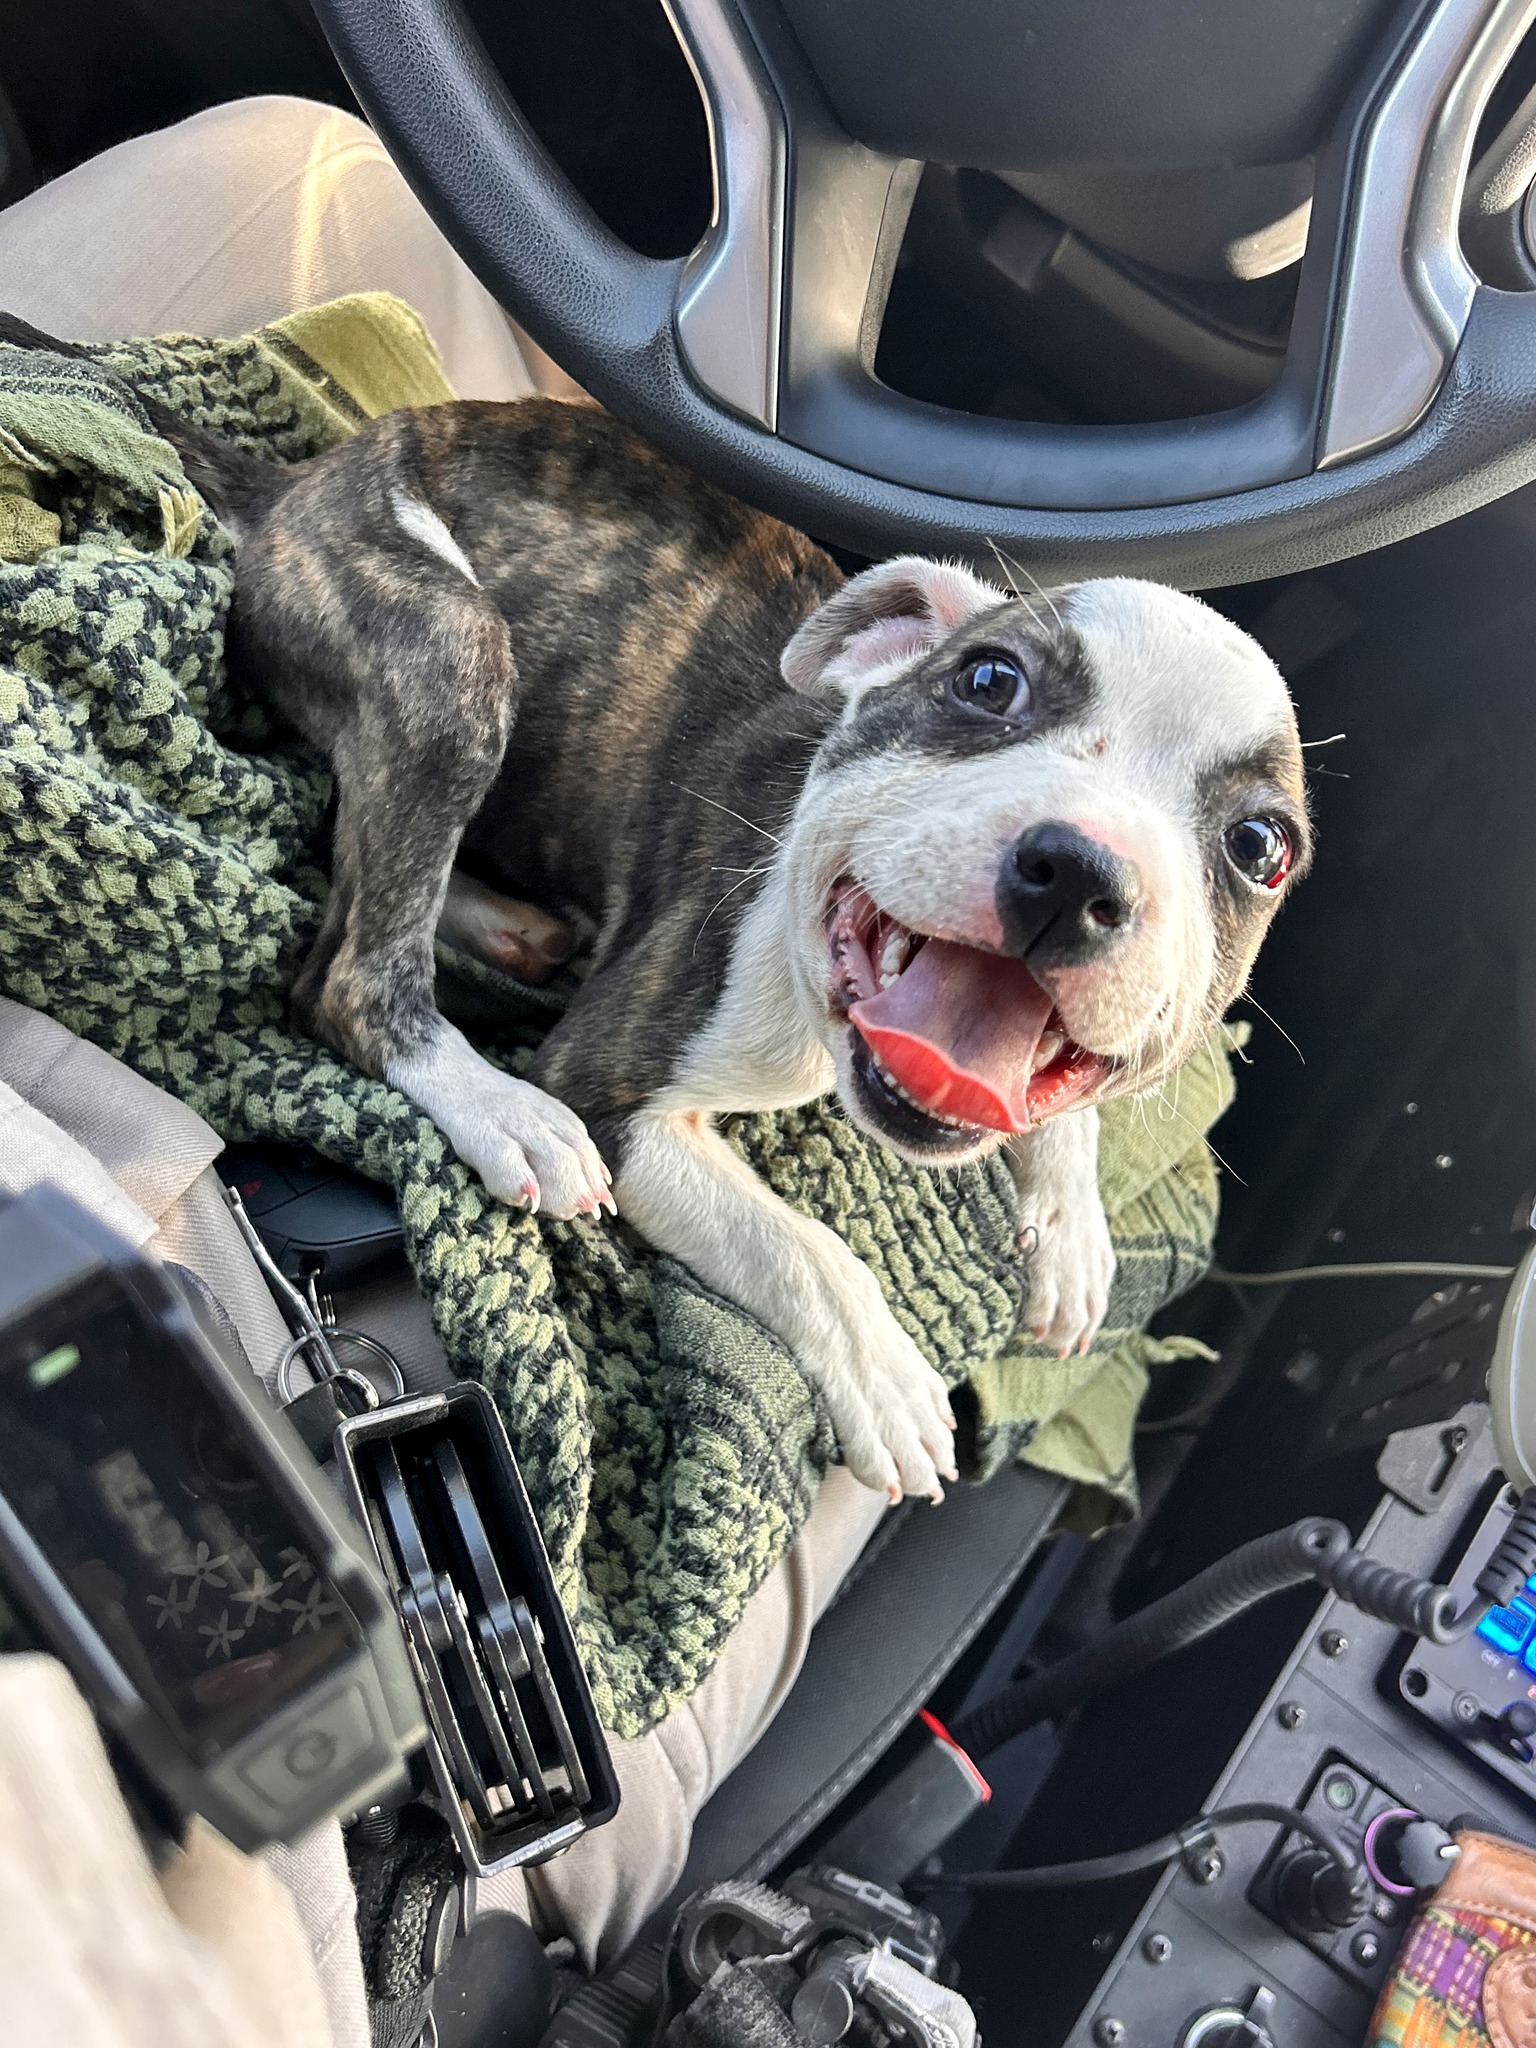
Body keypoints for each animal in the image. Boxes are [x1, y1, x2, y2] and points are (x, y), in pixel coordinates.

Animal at [0, 319, 1310, 1507]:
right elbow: (799, 1244)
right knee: (353, 967)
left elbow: (1067, 1109)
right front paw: (886, 1373)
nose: (1081, 870)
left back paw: (501, 923)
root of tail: (299, 485)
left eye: (1260, 848)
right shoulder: (618, 1086)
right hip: (452, 657)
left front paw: (1072, 1220)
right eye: (990, 680)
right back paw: (498, 1105)